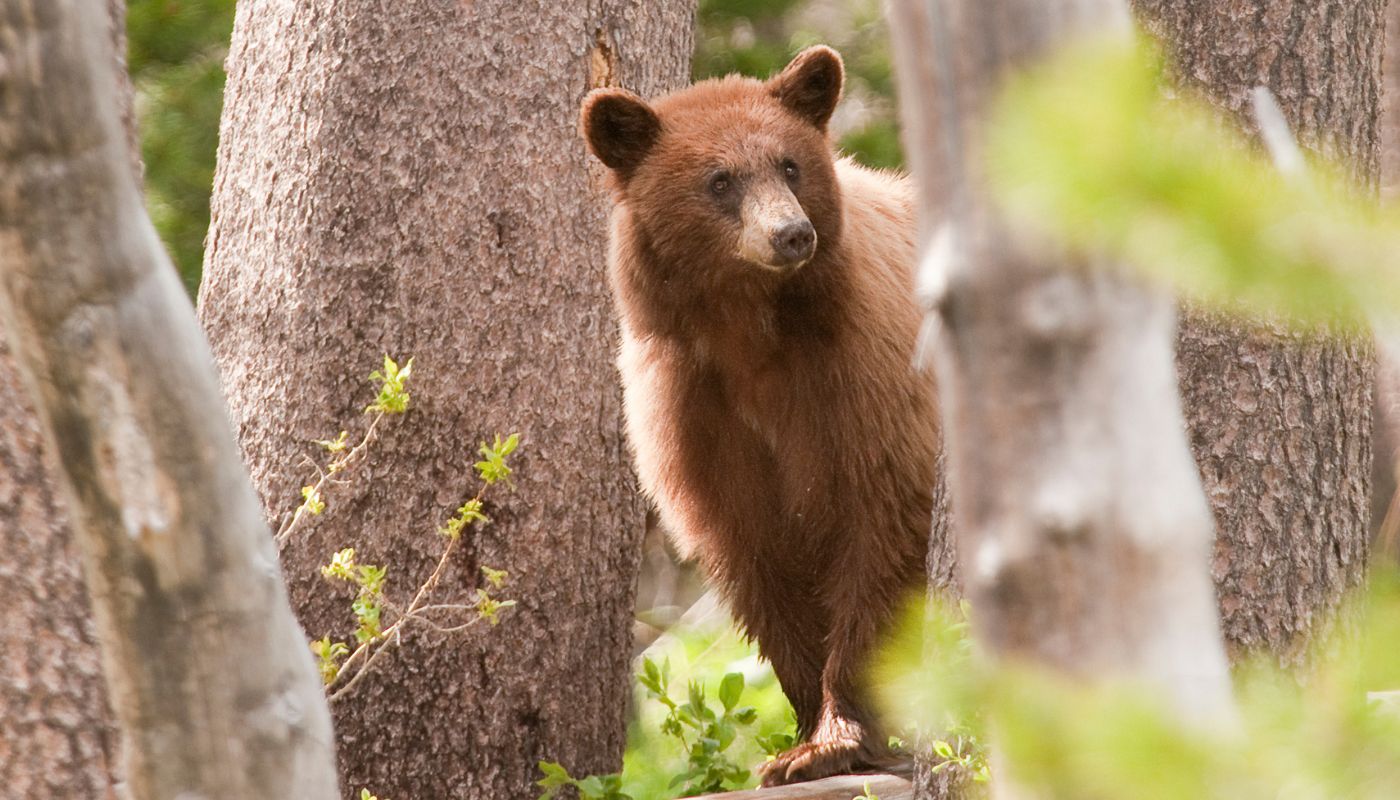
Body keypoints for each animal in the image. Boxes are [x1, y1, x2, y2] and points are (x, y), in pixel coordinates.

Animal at [579, 46, 940, 784]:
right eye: (719, 180)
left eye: (790, 164)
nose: (792, 233)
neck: (753, 335)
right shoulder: (695, 414)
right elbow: (757, 560)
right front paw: (800, 736)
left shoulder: (867, 383)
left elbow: (879, 535)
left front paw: (833, 739)